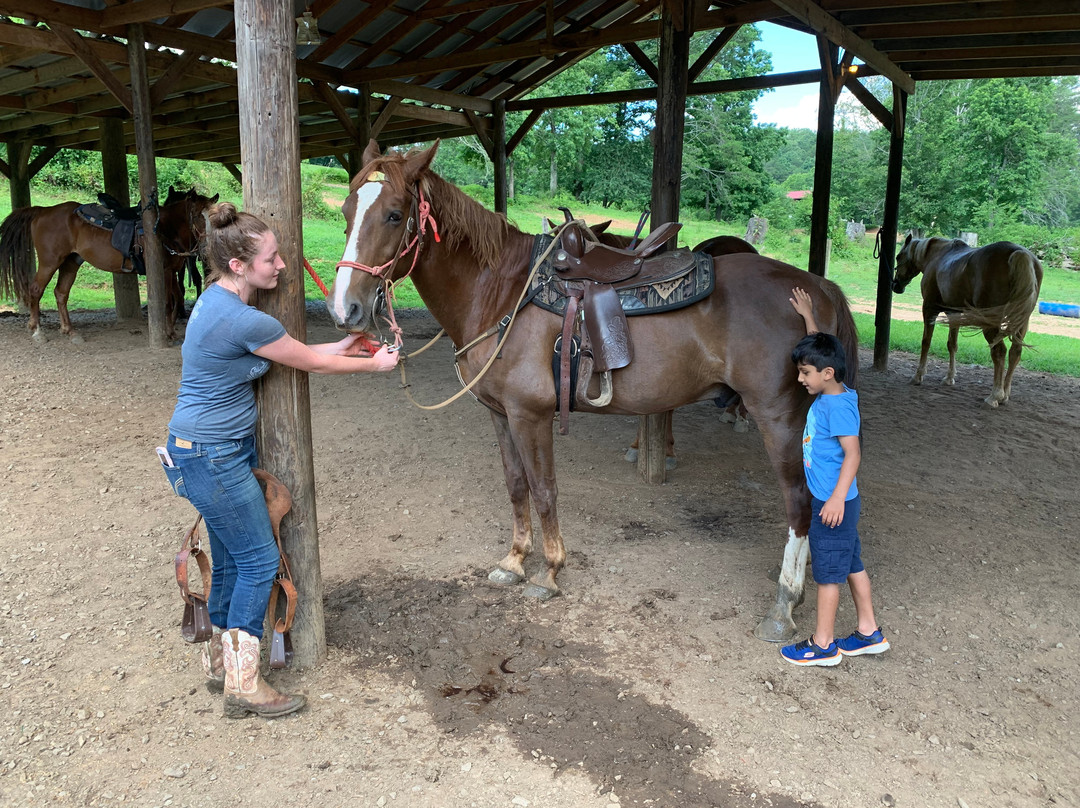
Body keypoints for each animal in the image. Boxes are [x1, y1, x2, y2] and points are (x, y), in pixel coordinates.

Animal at [0, 187, 217, 343]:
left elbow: (178, 299)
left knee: (61, 293)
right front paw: (168, 334)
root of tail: (43, 211)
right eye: (198, 215)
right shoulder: (163, 271)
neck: (164, 228)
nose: (208, 246)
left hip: (71, 262)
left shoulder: (171, 271)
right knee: (36, 290)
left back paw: (70, 331)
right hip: (50, 261)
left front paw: (172, 332)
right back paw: (37, 331)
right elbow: (168, 302)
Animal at [324, 140, 855, 643]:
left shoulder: (530, 415)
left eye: (394, 214)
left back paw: (783, 606)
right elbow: (515, 484)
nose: (346, 310)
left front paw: (549, 573)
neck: (499, 292)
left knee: (799, 502)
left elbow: (543, 489)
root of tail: (818, 287)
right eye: (347, 210)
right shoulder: (499, 413)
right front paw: (513, 561)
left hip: (779, 418)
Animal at [889, 236, 1041, 406]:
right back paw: (1005, 395)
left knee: (999, 351)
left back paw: (995, 395)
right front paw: (949, 378)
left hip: (991, 323)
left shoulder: (929, 309)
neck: (936, 256)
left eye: (898, 256)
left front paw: (918, 375)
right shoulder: (953, 314)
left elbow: (926, 342)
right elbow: (952, 345)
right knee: (1015, 352)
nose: (895, 285)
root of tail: (1018, 253)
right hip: (1021, 321)